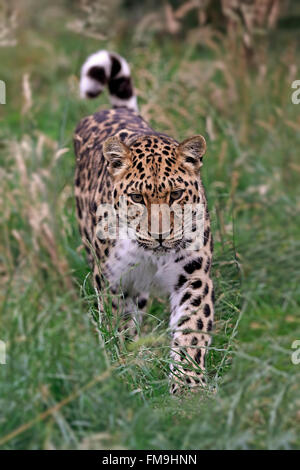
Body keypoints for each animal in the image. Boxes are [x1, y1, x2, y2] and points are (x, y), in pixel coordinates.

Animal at [75, 49, 216, 392]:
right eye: (137, 198)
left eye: (176, 194)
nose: (161, 235)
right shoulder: (113, 281)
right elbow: (119, 325)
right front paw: (125, 364)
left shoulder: (193, 276)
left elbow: (191, 330)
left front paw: (188, 387)